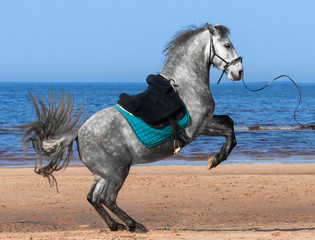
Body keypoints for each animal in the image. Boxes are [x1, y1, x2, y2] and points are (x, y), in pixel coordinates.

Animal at [21, 23, 244, 232]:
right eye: (227, 45)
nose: (239, 72)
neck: (186, 85)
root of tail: (78, 133)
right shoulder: (199, 127)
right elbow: (228, 131)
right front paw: (215, 160)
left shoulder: (207, 121)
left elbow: (228, 122)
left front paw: (216, 158)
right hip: (117, 172)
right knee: (107, 199)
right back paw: (134, 224)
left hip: (103, 174)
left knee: (93, 198)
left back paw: (115, 225)